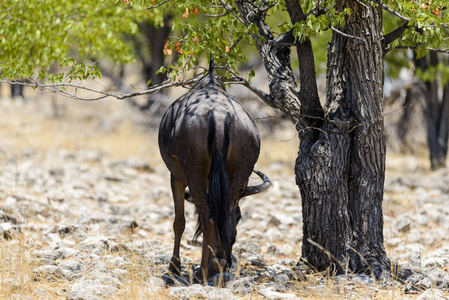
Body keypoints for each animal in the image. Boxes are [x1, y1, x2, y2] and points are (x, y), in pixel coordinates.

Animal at [158, 61, 270, 282]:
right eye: (240, 217)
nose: (227, 261)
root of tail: (218, 116)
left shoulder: (176, 176)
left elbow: (179, 222)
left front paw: (174, 267)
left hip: (194, 175)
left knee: (207, 216)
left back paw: (202, 271)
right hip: (238, 175)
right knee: (221, 213)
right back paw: (213, 265)